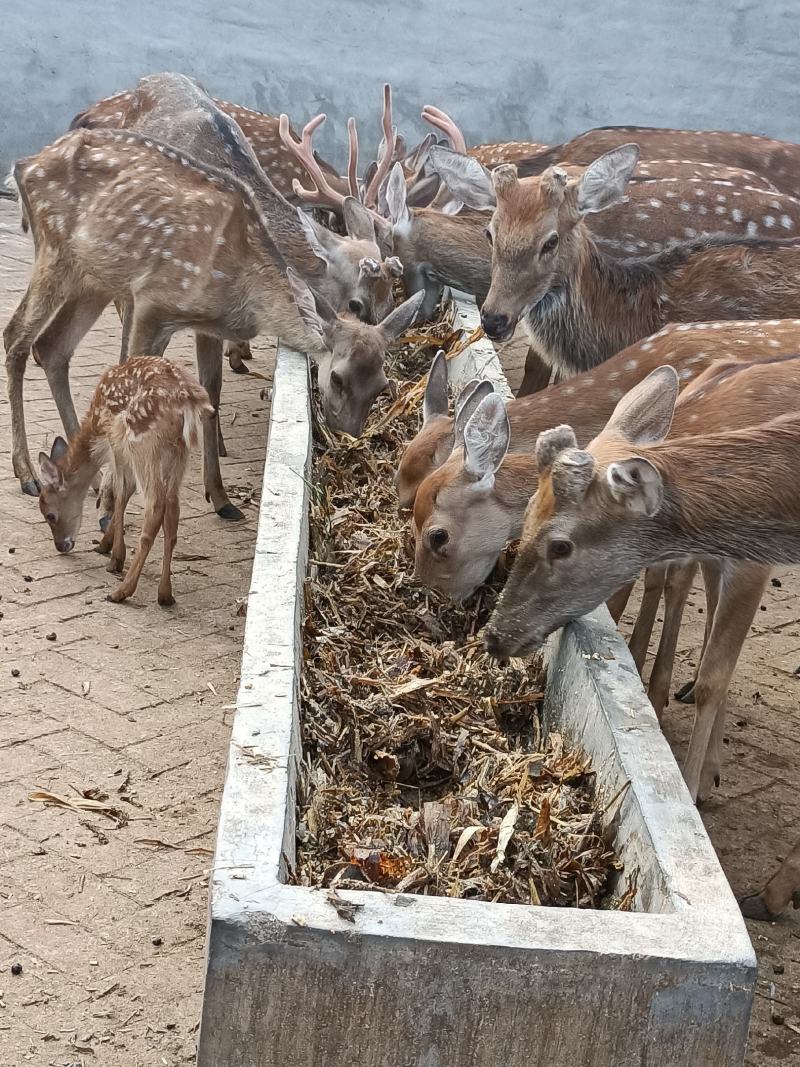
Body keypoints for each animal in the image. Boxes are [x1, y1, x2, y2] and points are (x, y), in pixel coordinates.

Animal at [4, 126, 424, 514]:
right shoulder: (150, 299)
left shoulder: (201, 322)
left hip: (93, 276)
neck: (242, 289)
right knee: (17, 337)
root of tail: (23, 165)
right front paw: (112, 504)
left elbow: (209, 393)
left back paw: (82, 475)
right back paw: (27, 473)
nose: (349, 436)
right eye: (336, 377)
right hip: (55, 251)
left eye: (382, 386)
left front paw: (220, 497)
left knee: (52, 347)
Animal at [38, 356, 213, 605]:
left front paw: (114, 556)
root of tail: (188, 399)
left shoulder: (116, 441)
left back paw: (122, 590)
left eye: (50, 515)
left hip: (143, 443)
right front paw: (105, 544)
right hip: (179, 450)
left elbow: (119, 491)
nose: (61, 545)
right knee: (172, 507)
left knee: (155, 505)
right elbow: (122, 492)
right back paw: (165, 594)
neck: (96, 427)